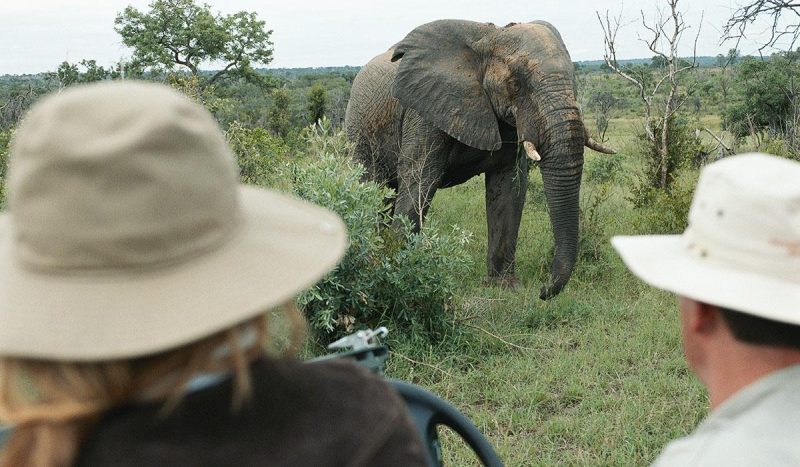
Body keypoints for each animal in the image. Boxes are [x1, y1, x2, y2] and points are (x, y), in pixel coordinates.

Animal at [344, 19, 615, 300]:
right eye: (516, 84)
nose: (542, 291)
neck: (489, 38)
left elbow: (509, 187)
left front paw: (505, 287)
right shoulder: (423, 109)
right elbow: (420, 178)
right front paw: (399, 273)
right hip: (358, 128)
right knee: (372, 186)